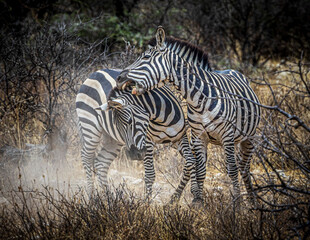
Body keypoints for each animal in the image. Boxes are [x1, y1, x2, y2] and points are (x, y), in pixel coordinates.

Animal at [75, 68, 199, 202]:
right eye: (117, 125)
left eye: (130, 120)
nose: (134, 154)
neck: (160, 117)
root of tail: (96, 72)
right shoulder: (148, 142)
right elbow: (150, 175)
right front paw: (147, 204)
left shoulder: (180, 137)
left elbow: (191, 161)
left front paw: (191, 196)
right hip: (90, 126)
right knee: (86, 157)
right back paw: (91, 198)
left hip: (112, 140)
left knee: (101, 163)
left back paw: (110, 200)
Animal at [115, 26, 260, 204]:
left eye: (146, 57)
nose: (119, 78)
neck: (199, 100)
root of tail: (233, 70)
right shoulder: (198, 136)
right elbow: (200, 169)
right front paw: (198, 201)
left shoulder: (227, 134)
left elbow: (231, 169)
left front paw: (237, 203)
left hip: (249, 137)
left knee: (243, 167)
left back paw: (252, 200)